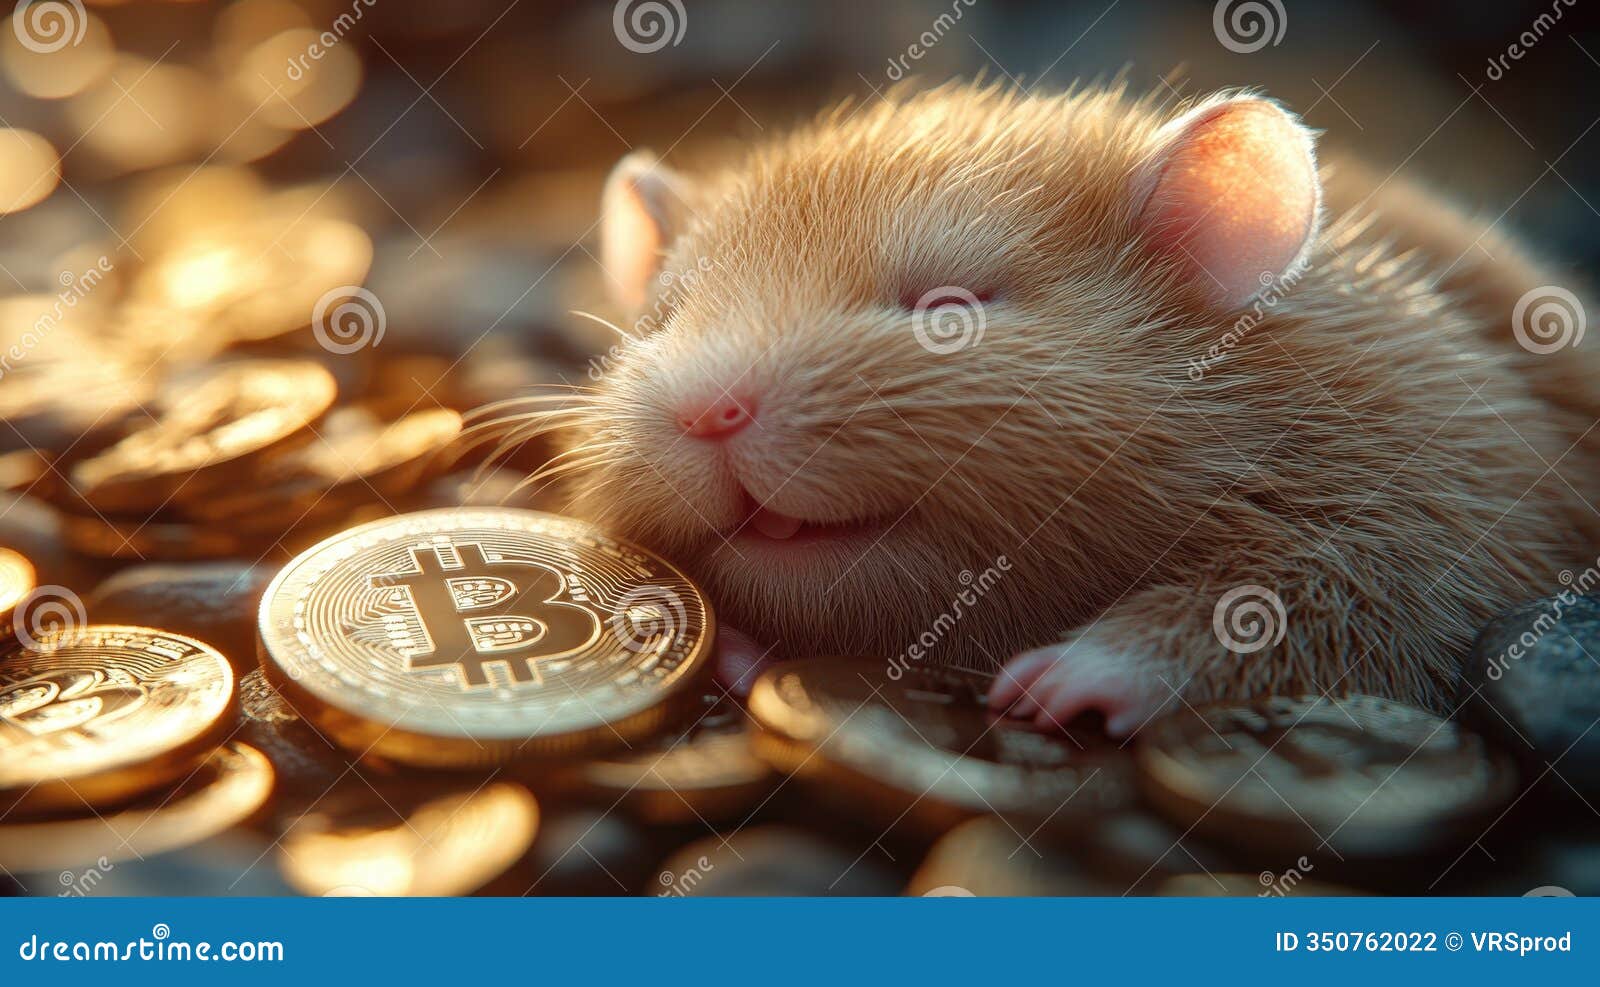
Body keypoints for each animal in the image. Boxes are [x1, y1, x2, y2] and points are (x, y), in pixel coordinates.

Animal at [504, 81, 1600, 737]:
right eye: (659, 323)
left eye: (951, 308)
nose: (707, 415)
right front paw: (708, 637)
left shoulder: (1432, 512)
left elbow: (1301, 608)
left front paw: (1057, 683)